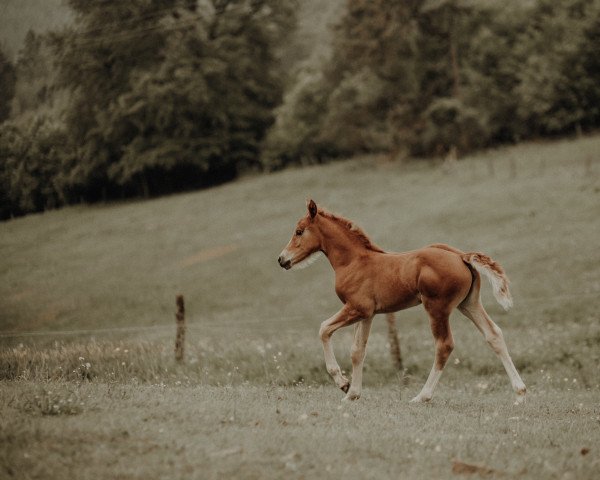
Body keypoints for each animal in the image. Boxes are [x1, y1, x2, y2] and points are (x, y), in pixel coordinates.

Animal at [276, 201, 524, 404]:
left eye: (299, 231)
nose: (281, 259)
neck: (354, 262)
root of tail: (461, 256)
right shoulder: (367, 314)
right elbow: (357, 351)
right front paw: (352, 393)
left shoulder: (356, 308)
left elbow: (324, 329)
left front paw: (342, 383)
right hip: (469, 304)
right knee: (494, 335)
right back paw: (520, 391)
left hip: (437, 307)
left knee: (444, 345)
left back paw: (422, 396)